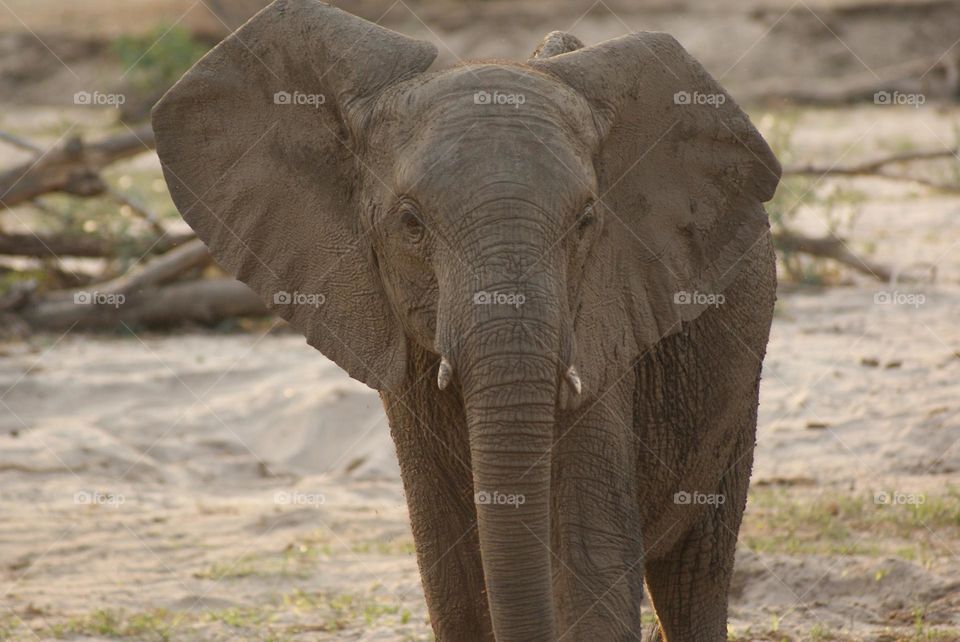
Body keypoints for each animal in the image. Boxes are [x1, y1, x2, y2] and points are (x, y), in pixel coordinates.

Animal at [150, 2, 780, 636]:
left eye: (586, 221)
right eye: (410, 223)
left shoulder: (606, 326)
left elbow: (587, 558)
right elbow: (450, 570)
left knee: (694, 574)